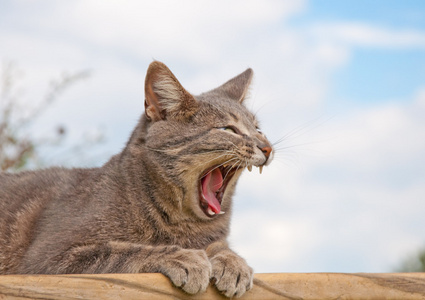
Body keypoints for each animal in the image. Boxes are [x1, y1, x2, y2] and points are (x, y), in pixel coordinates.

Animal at [0, 61, 272, 298]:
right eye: (228, 129)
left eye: (259, 130)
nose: (267, 147)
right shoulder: (49, 258)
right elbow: (123, 251)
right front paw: (183, 257)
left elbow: (219, 245)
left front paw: (232, 261)